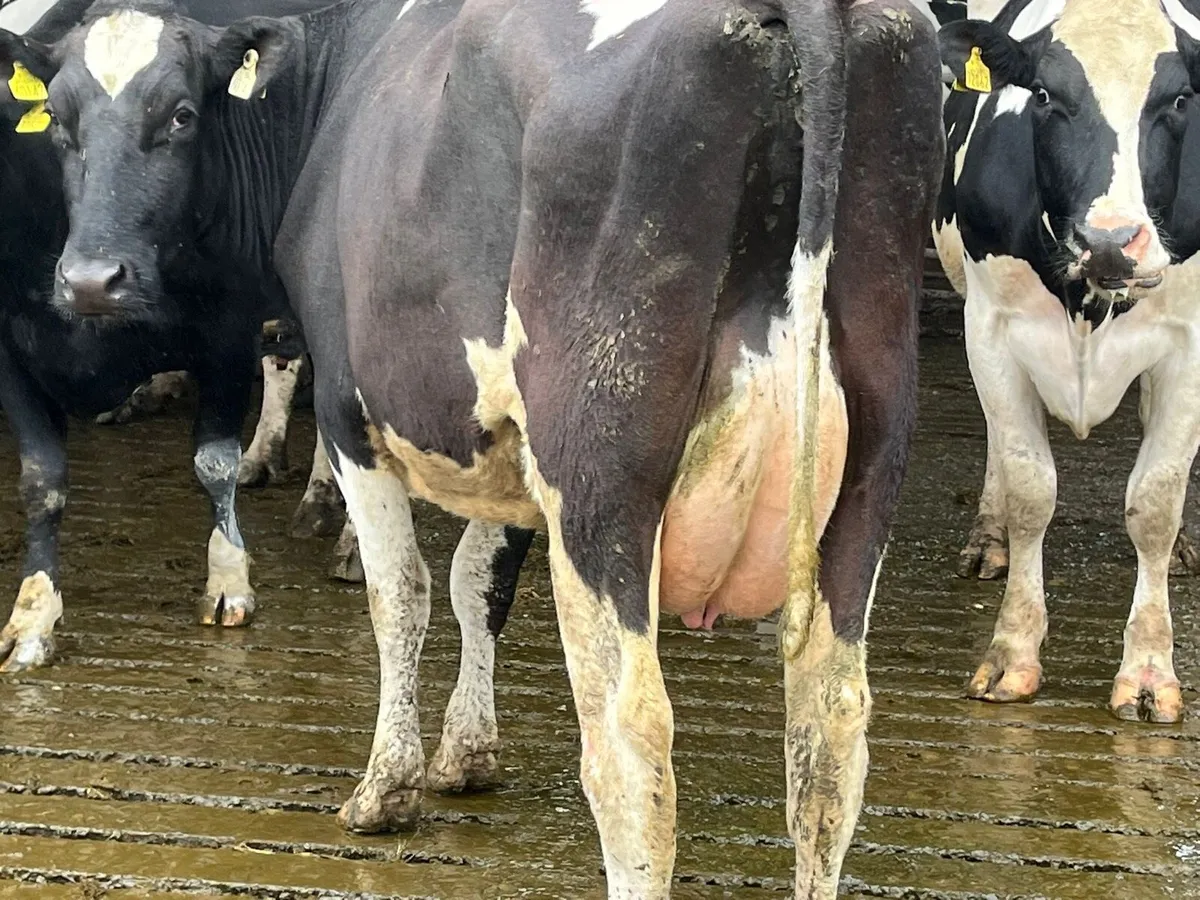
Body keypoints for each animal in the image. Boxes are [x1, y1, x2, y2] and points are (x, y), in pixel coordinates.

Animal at [0, 0, 946, 894]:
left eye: (183, 114)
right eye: (58, 120)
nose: (90, 279)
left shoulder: (350, 410)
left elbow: (403, 596)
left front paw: (387, 787)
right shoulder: (511, 452)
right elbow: (476, 585)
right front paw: (466, 752)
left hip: (594, 468)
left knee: (631, 746)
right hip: (868, 470)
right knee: (830, 732)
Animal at [933, 0, 1200, 723]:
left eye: (1179, 100)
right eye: (1046, 96)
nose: (1109, 239)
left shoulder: (1191, 343)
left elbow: (1154, 502)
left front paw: (1148, 672)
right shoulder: (991, 329)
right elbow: (1031, 489)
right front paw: (1012, 654)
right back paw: (988, 537)